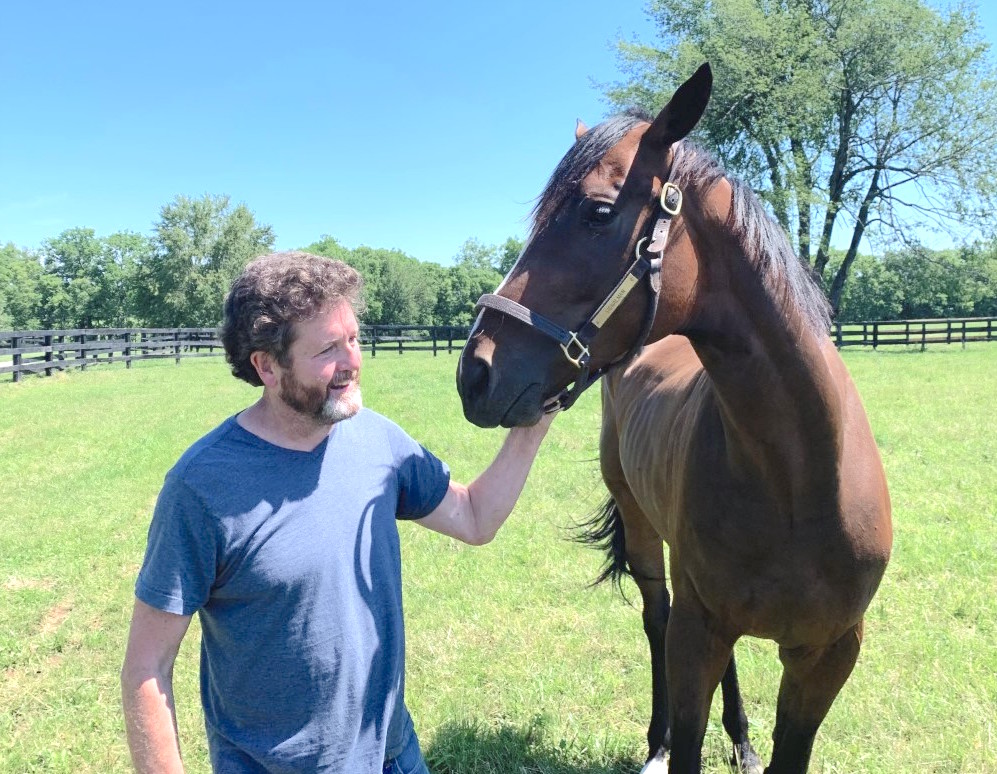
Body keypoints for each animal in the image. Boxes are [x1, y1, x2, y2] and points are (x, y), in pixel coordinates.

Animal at [456, 63, 892, 772]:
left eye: (597, 213)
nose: (476, 373)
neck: (799, 481)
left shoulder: (827, 657)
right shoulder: (697, 631)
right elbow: (686, 714)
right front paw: (671, 744)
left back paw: (740, 738)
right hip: (644, 535)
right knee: (655, 618)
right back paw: (656, 745)